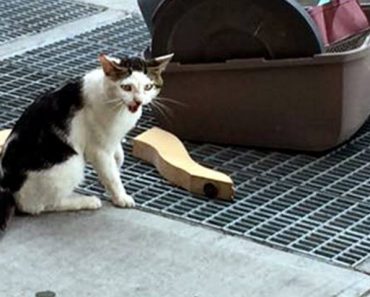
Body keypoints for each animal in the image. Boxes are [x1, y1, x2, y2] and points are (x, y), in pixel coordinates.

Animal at [0, 52, 173, 230]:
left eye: (148, 87)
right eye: (126, 87)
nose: (138, 101)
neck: (116, 105)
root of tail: (7, 185)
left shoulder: (112, 139)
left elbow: (118, 157)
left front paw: (116, 166)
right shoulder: (98, 150)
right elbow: (111, 176)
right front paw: (121, 197)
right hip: (71, 163)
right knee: (40, 205)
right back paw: (86, 201)